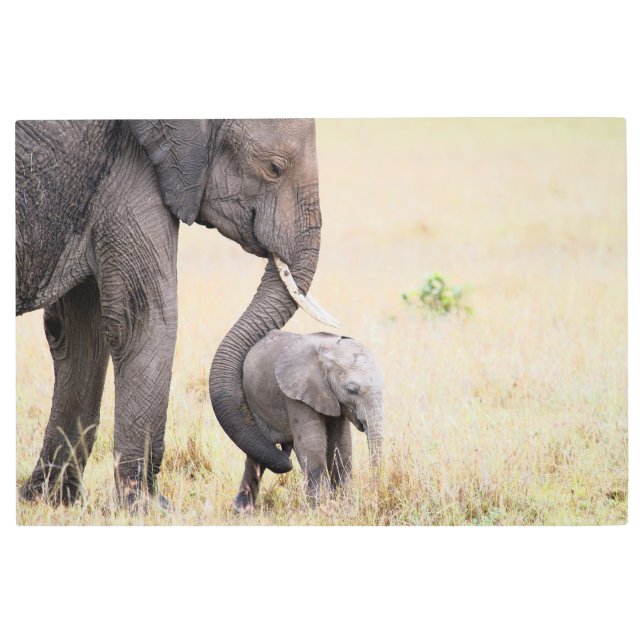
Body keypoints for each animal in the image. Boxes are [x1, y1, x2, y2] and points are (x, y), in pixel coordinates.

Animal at [15, 119, 337, 510]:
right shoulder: (132, 165)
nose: (284, 449)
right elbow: (145, 320)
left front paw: (49, 502)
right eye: (274, 168)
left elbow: (80, 333)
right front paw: (148, 507)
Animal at [232, 331, 384, 513]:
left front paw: (345, 506)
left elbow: (341, 445)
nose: (376, 492)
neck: (327, 351)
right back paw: (242, 510)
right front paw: (321, 509)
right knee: (258, 449)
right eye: (352, 390)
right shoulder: (297, 392)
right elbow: (311, 445)